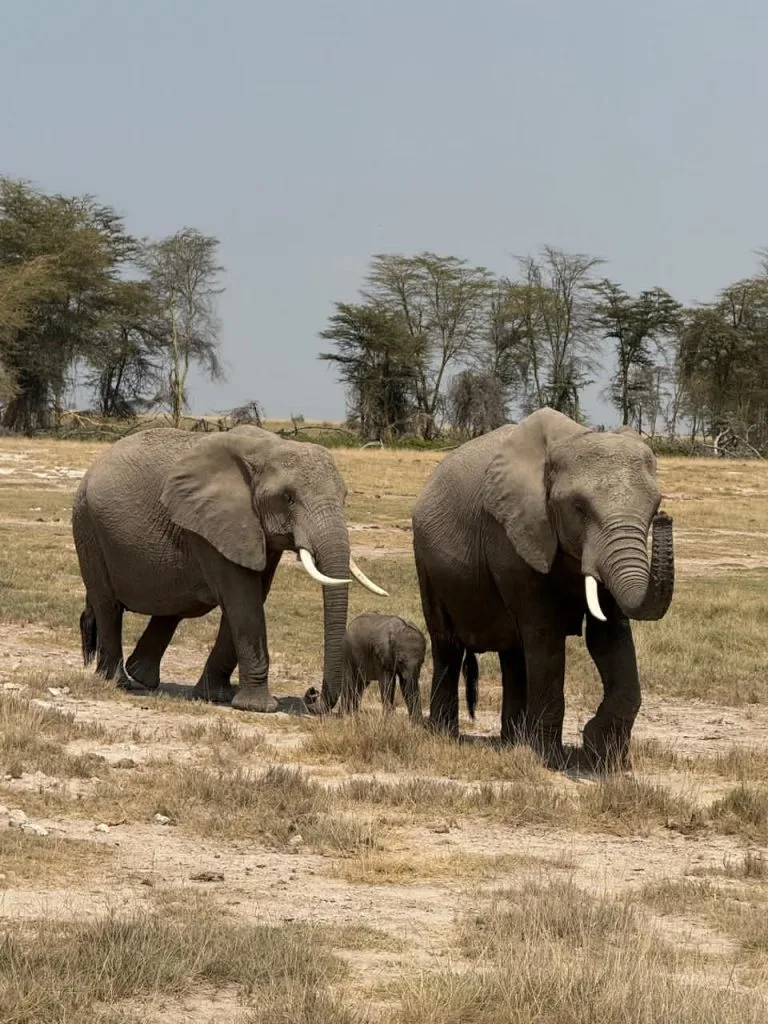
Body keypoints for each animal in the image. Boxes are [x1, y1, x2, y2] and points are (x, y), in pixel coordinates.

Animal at [72, 425, 387, 713]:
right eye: (288, 498)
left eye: (345, 498)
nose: (311, 696)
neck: (268, 448)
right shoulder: (213, 525)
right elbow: (243, 600)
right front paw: (258, 707)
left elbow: (253, 596)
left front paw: (217, 696)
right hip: (88, 526)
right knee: (108, 605)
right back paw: (118, 682)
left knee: (171, 607)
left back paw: (142, 678)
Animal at [411, 407, 674, 768]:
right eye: (579, 508)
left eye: (654, 507)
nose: (666, 518)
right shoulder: (513, 536)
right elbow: (545, 637)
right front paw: (551, 758)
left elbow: (608, 636)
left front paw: (603, 756)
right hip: (427, 561)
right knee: (448, 644)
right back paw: (445, 734)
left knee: (513, 653)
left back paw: (512, 741)